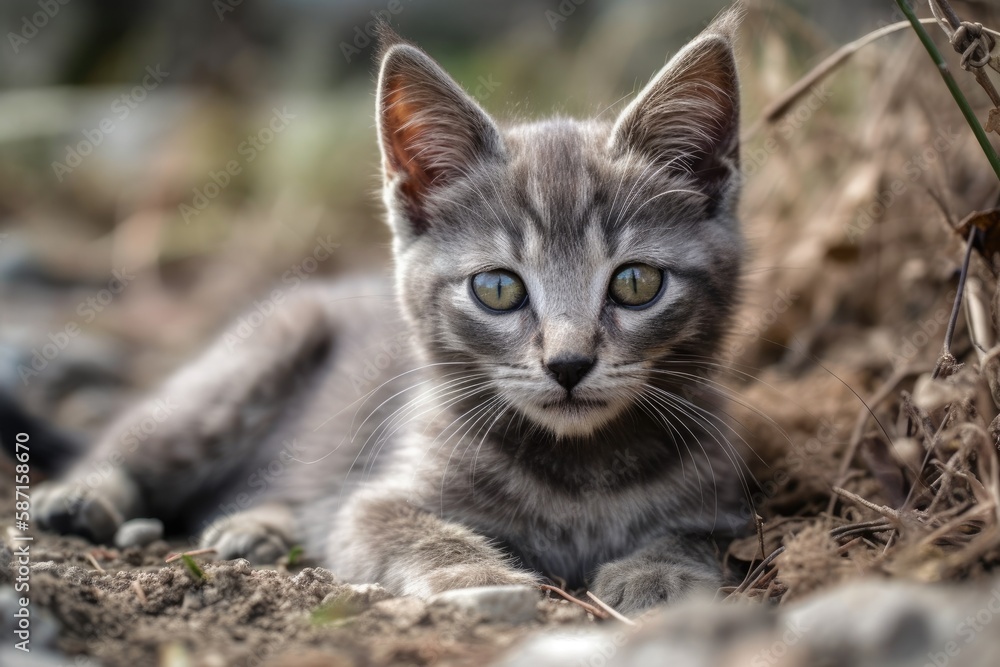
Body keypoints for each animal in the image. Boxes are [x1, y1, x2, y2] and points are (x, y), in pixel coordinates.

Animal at [31, 9, 748, 616]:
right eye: (498, 288)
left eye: (635, 282)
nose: (569, 363)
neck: (582, 470)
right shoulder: (377, 498)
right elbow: (409, 529)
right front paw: (475, 576)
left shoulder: (731, 499)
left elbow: (696, 534)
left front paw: (660, 570)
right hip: (257, 357)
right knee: (147, 436)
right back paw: (84, 493)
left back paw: (261, 524)